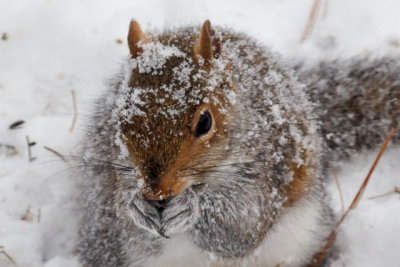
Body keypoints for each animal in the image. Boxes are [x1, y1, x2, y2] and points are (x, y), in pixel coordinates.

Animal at [78, 19, 400, 266]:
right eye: (121, 121)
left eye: (205, 122)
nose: (155, 191)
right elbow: (135, 231)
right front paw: (135, 207)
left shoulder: (270, 166)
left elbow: (241, 228)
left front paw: (191, 208)